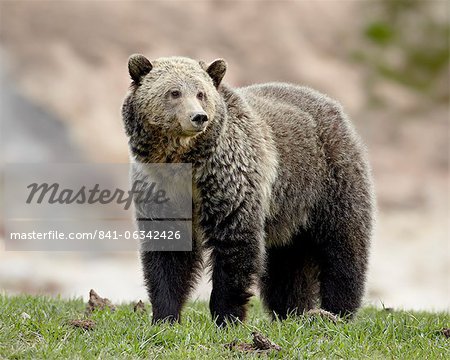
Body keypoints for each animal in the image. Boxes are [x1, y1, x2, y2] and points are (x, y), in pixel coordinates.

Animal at [121, 54, 374, 326]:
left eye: (201, 93)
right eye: (174, 92)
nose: (199, 117)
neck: (184, 166)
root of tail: (329, 102)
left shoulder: (230, 181)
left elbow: (235, 245)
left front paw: (226, 316)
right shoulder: (161, 191)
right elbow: (167, 252)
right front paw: (165, 316)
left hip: (329, 179)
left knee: (343, 247)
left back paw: (336, 311)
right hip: (289, 210)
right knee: (287, 265)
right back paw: (291, 312)